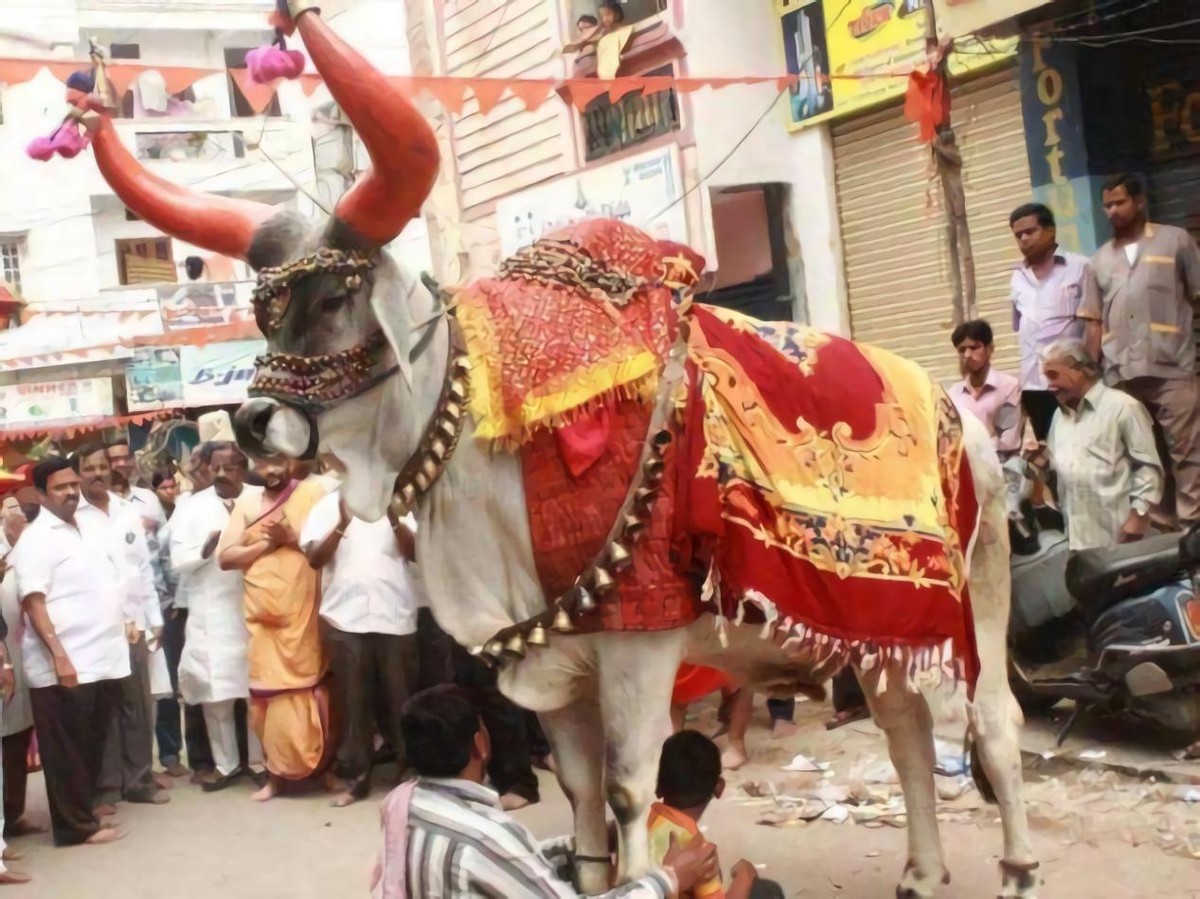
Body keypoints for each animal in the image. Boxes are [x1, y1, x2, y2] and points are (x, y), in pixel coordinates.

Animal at [68, 3, 1041, 892]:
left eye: (334, 299)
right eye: (265, 310)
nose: (251, 421)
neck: (481, 448)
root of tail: (959, 419)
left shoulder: (640, 644)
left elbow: (629, 787)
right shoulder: (552, 660)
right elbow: (578, 789)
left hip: (980, 595)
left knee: (991, 726)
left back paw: (1018, 867)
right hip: (876, 625)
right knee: (906, 730)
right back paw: (922, 870)